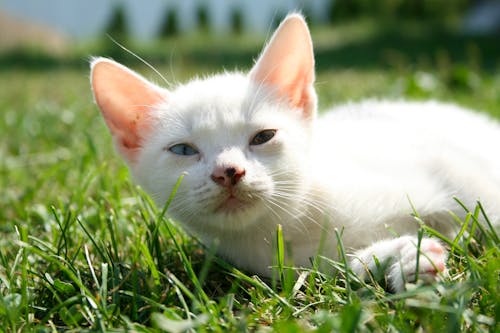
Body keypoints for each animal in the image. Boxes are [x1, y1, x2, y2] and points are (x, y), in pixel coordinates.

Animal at [90, 13, 500, 290]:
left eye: (263, 136)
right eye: (183, 149)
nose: (228, 172)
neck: (295, 224)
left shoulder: (449, 169)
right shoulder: (316, 263)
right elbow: (354, 266)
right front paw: (406, 261)